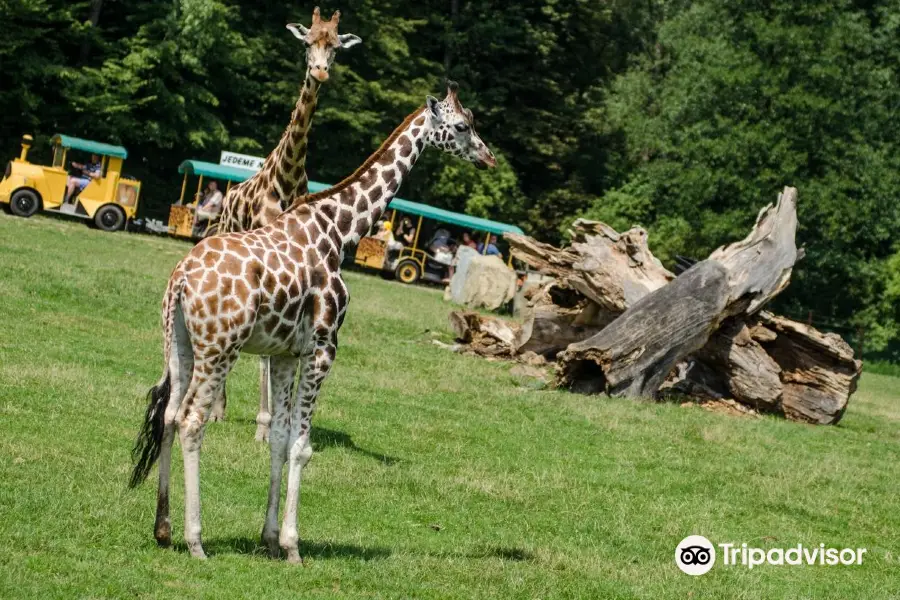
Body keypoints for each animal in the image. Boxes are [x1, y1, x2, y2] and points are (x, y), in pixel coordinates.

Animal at [129, 81, 496, 564]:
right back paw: (195, 541)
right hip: (220, 348)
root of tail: (182, 279)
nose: (489, 158)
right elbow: (303, 447)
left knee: (169, 416)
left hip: (179, 344)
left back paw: (163, 528)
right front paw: (292, 545)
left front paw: (268, 538)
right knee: (192, 422)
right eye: (462, 126)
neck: (340, 231)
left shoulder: (287, 352)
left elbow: (280, 438)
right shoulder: (325, 345)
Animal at [211, 4, 362, 436]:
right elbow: (265, 351)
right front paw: (264, 424)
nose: (320, 72)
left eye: (336, 47)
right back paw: (218, 408)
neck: (287, 178)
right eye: (308, 42)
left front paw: (277, 419)